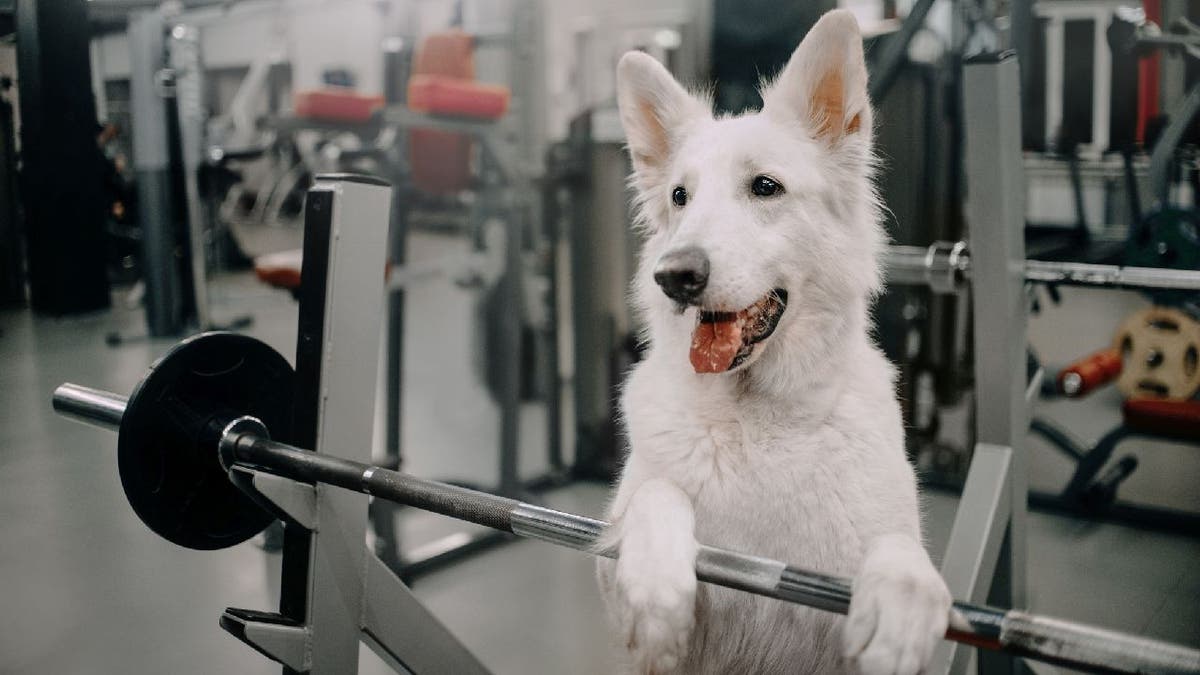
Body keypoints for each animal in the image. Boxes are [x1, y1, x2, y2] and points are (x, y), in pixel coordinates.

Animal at [595, 10, 950, 672]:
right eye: (680, 197)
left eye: (765, 186)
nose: (674, 276)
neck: (755, 422)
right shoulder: (613, 560)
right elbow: (655, 495)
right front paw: (656, 591)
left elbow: (899, 550)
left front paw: (901, 610)